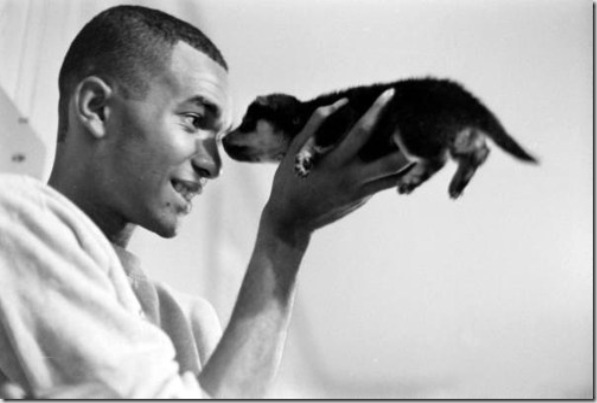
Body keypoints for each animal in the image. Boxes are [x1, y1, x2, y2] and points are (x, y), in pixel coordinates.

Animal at [222, 78, 536, 198]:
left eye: (247, 124)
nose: (222, 140)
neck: (305, 112)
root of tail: (464, 98)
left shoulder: (339, 116)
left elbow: (315, 139)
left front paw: (303, 158)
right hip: (454, 133)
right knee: (479, 151)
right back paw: (459, 181)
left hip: (414, 129)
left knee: (438, 159)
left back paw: (413, 179)